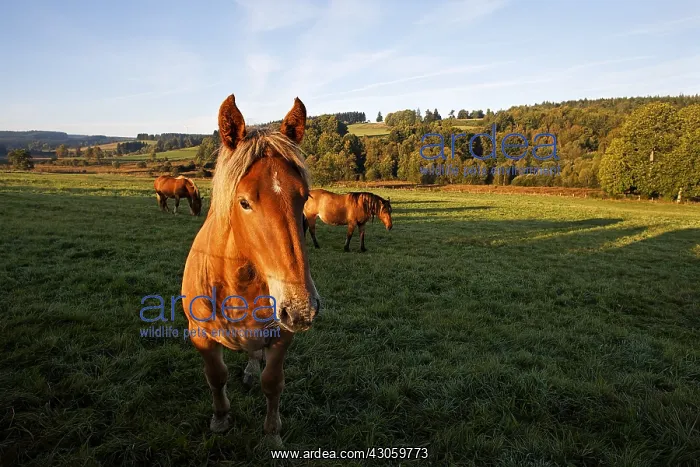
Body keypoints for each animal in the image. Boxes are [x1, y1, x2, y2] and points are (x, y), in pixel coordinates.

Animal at [181, 94, 320, 447]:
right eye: (244, 202)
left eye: (305, 198)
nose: (301, 309)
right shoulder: (200, 335)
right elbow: (216, 376)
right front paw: (220, 418)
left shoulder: (282, 335)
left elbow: (273, 383)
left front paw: (271, 434)